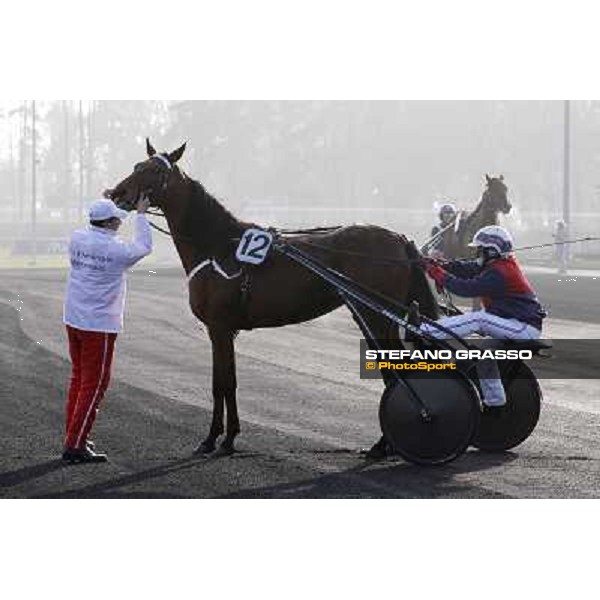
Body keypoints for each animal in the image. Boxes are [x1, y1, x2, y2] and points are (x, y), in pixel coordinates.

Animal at [110, 141, 438, 458]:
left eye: (154, 171)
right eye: (137, 165)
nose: (117, 193)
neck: (219, 247)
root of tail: (398, 238)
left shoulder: (219, 327)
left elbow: (222, 384)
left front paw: (216, 438)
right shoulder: (224, 330)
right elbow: (225, 381)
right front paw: (224, 437)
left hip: (377, 316)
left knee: (396, 371)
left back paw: (389, 440)